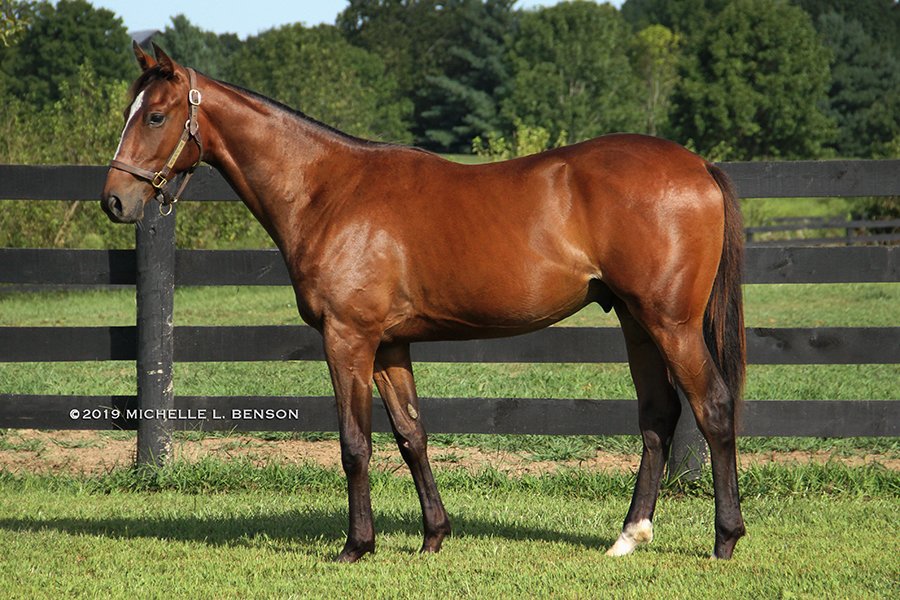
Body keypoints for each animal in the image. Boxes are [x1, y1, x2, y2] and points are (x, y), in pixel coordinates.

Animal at [102, 43, 747, 562]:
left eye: (155, 115)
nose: (114, 200)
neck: (327, 190)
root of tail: (697, 165)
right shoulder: (390, 345)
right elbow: (412, 435)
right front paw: (433, 536)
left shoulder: (348, 339)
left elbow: (355, 444)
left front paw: (356, 546)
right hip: (637, 321)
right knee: (658, 416)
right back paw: (628, 537)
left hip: (672, 323)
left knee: (712, 407)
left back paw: (724, 539)